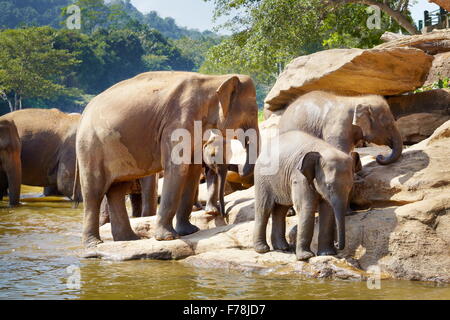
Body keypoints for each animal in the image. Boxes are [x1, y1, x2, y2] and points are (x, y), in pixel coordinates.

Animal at [76, 72, 260, 248]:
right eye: (253, 112)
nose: (223, 214)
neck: (214, 79)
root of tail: (84, 112)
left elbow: (192, 170)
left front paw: (189, 231)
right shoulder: (178, 122)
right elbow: (177, 168)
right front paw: (168, 238)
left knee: (117, 191)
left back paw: (129, 239)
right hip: (91, 146)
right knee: (94, 193)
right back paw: (94, 244)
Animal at [253, 130, 356, 260]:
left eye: (350, 186)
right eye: (328, 186)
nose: (337, 244)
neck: (324, 149)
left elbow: (328, 210)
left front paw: (327, 254)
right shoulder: (299, 177)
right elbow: (307, 207)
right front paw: (305, 257)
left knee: (281, 209)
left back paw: (282, 248)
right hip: (262, 178)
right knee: (264, 208)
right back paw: (262, 250)